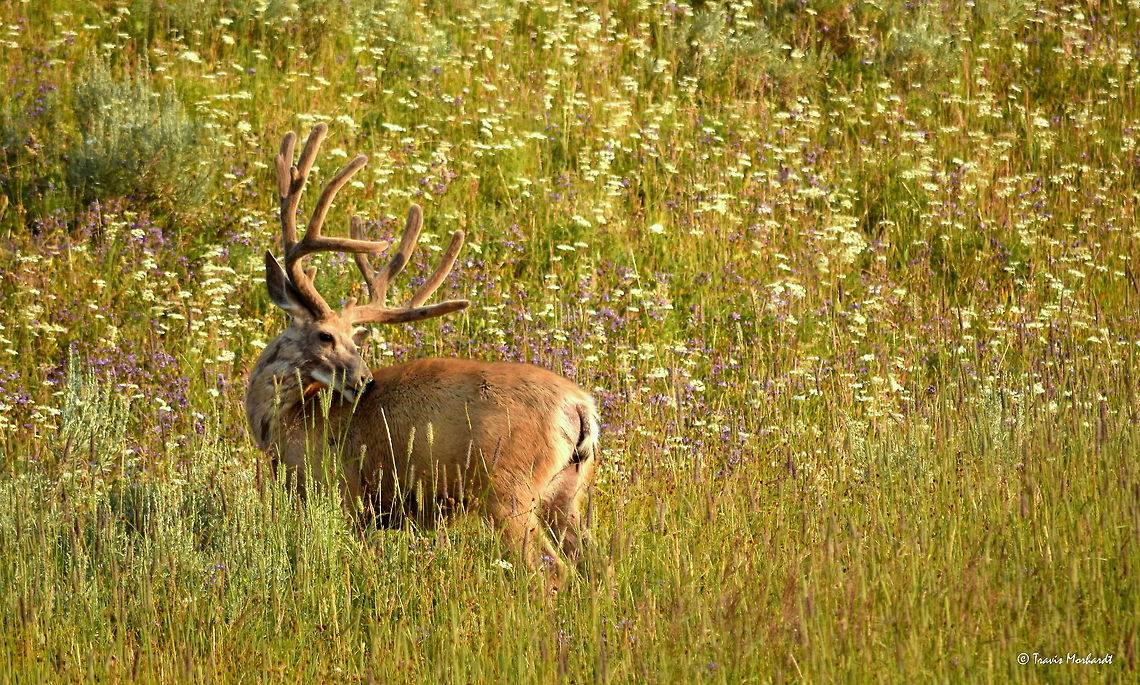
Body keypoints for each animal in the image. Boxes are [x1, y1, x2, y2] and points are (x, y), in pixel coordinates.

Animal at [244, 123, 598, 572]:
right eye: (328, 336)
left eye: (347, 338)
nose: (364, 380)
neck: (289, 418)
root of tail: (580, 407)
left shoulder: (343, 496)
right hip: (567, 493)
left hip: (509, 490)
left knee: (549, 574)